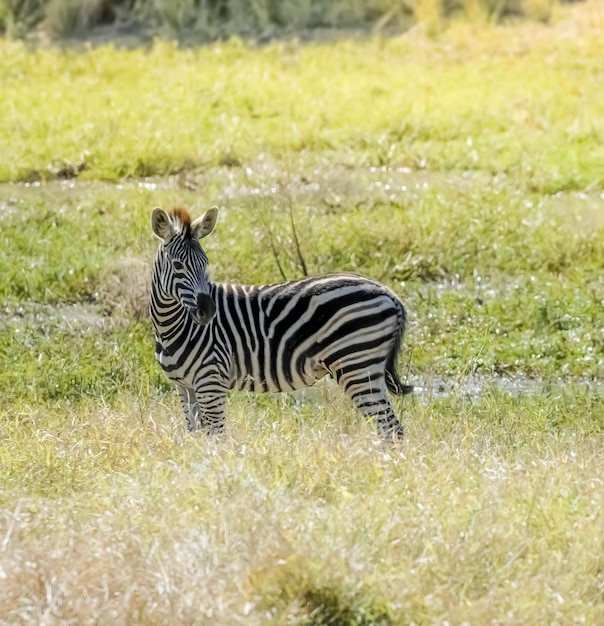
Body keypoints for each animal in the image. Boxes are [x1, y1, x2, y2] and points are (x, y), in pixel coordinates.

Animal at [151, 207, 412, 442]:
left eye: (205, 263)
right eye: (177, 266)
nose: (208, 312)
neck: (171, 326)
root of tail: (389, 293)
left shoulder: (210, 381)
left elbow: (216, 438)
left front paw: (218, 464)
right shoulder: (185, 387)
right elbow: (196, 436)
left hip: (356, 364)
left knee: (391, 428)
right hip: (365, 366)